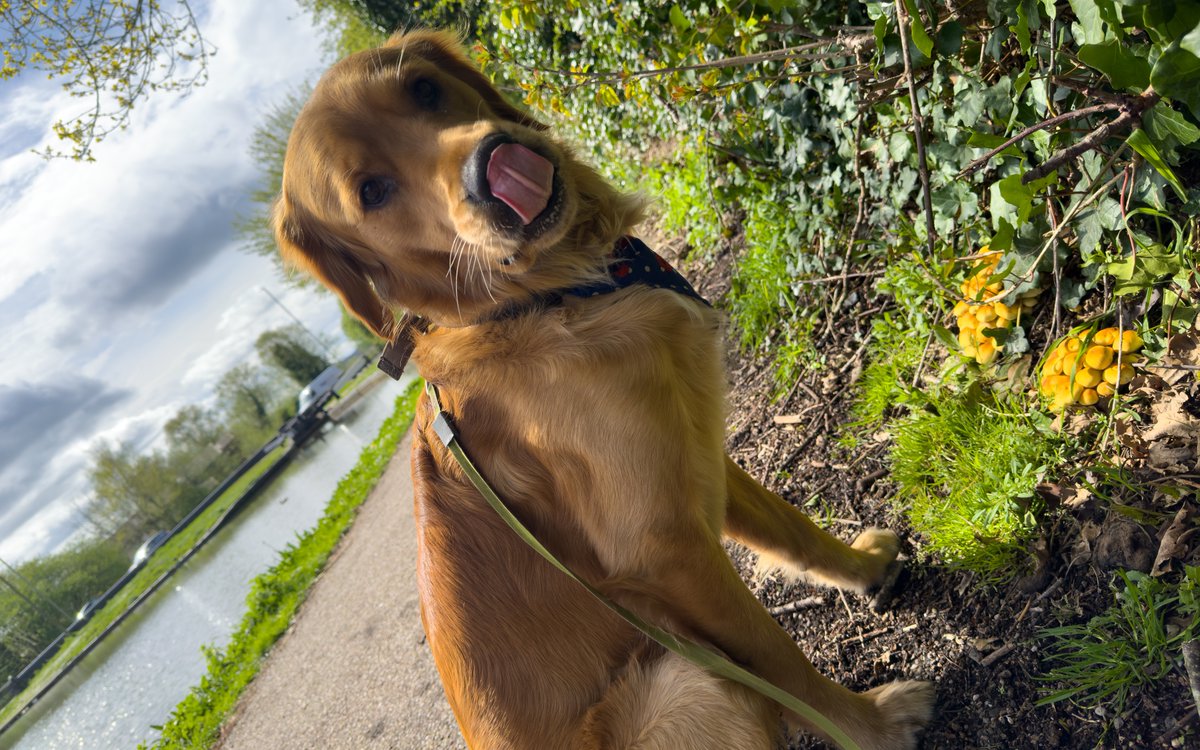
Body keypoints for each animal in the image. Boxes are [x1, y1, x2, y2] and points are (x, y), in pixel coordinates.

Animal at [276, 29, 931, 748]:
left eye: (422, 88)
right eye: (371, 191)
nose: (490, 163)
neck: (546, 296)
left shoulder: (691, 444)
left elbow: (792, 530)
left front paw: (864, 568)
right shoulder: (662, 551)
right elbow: (779, 660)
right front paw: (871, 725)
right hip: (685, 679)